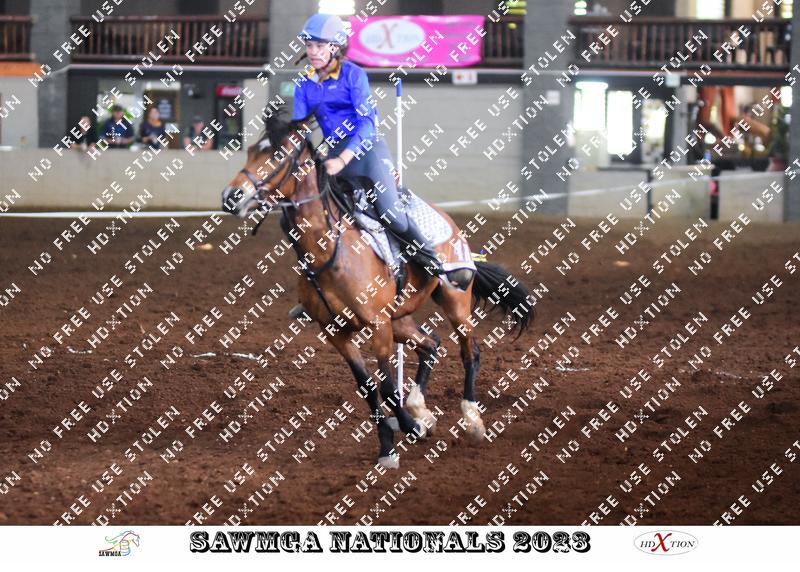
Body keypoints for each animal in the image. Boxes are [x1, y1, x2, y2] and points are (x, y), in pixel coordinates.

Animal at [221, 113, 534, 469]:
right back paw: (420, 409)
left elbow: (386, 386)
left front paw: (408, 430)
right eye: (248, 151)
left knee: (470, 350)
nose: (232, 196)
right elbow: (368, 386)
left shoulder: (378, 326)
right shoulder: (336, 332)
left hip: (453, 302)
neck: (331, 251)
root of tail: (449, 222)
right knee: (431, 344)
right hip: (400, 318)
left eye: (276, 154)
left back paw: (472, 420)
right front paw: (390, 443)